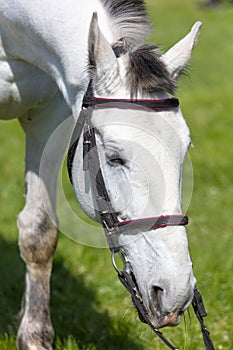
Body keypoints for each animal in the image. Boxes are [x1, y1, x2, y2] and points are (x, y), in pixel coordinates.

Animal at [0, 0, 201, 350]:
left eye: (184, 150)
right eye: (114, 158)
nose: (175, 293)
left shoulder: (49, 116)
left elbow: (38, 232)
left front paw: (33, 334)